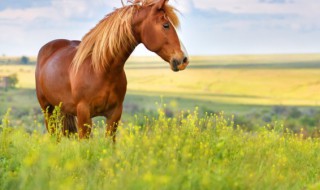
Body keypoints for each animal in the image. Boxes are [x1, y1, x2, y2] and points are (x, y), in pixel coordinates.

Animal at [35, 0, 189, 140]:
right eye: (166, 25)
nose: (184, 59)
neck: (101, 70)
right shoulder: (84, 115)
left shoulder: (114, 115)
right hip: (47, 110)